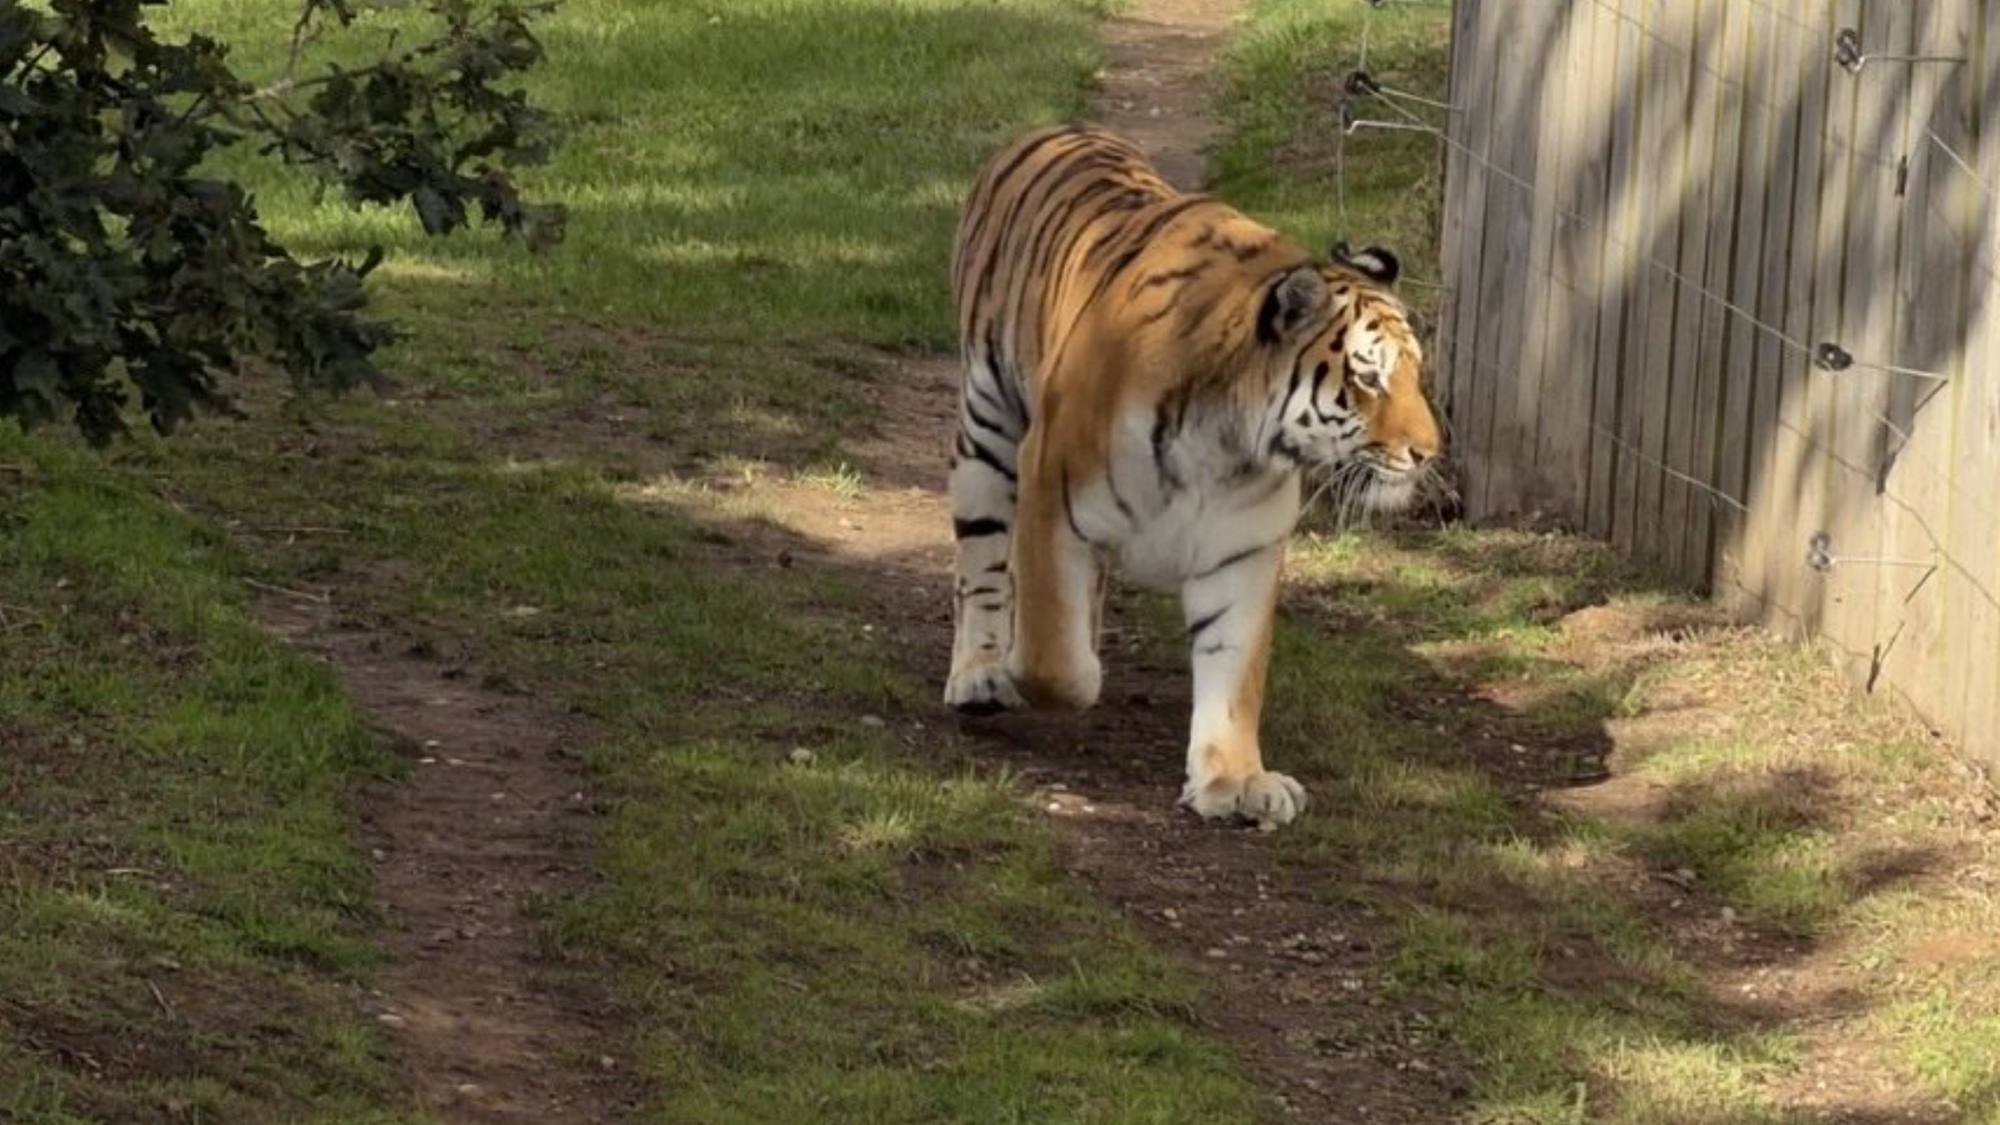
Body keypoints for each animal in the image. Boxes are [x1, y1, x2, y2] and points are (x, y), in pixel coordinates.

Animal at [944, 123, 1443, 828]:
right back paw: (981, 675)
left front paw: (1234, 780)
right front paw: (1029, 671)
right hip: (988, 434)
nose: (1429, 452)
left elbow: (1233, 671)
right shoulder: (1050, 491)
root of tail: (1054, 128)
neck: (1226, 441)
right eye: (1369, 376)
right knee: (982, 565)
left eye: (1415, 371)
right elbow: (1056, 662)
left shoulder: (1243, 550)